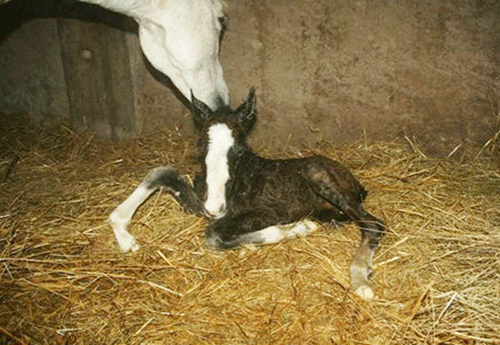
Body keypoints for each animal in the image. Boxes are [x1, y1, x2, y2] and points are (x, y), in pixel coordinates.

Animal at [107, 88, 384, 298]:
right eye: (200, 147)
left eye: (239, 149)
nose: (215, 207)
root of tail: (355, 181)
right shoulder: (199, 201)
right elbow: (161, 173)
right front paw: (125, 238)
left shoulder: (271, 211)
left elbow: (214, 234)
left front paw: (291, 230)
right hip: (327, 209)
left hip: (322, 179)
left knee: (373, 224)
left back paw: (360, 279)